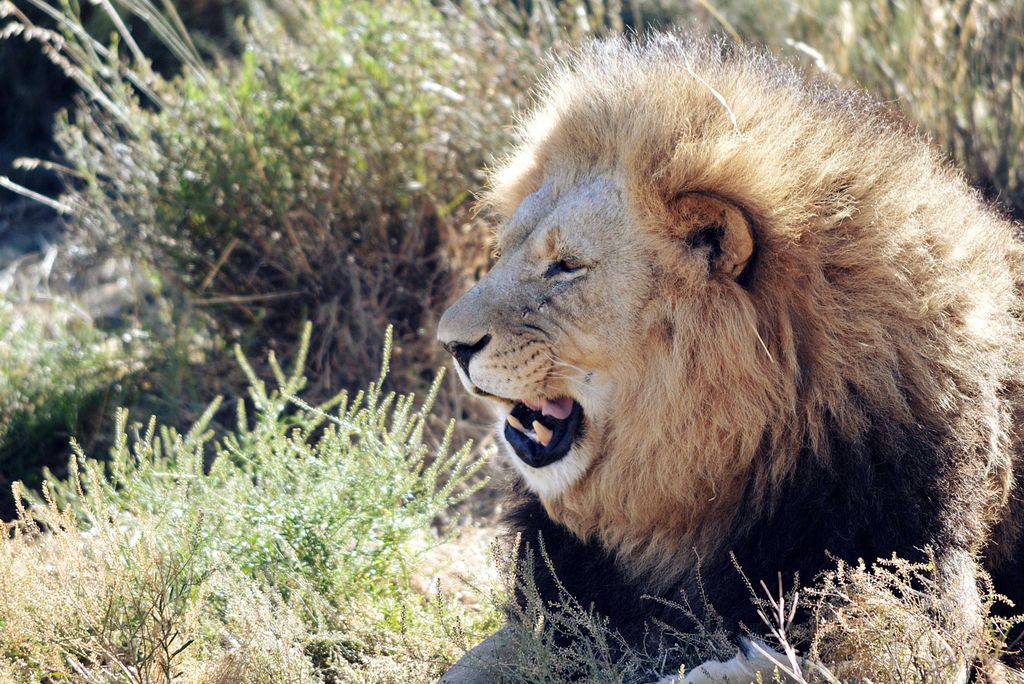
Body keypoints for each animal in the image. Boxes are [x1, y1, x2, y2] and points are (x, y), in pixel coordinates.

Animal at [437, 35, 1024, 683]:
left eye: (567, 266)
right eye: (506, 250)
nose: (451, 345)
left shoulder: (926, 604)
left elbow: (783, 660)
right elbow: (468, 663)